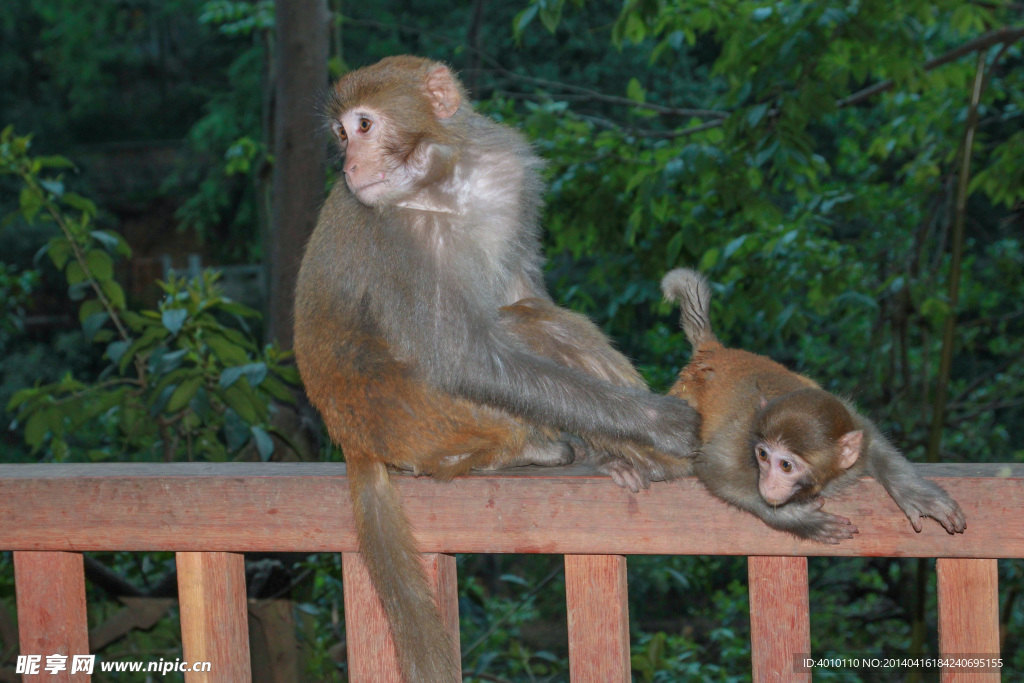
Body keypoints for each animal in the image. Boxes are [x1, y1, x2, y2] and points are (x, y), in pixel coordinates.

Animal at [292, 57, 700, 683]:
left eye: (361, 126)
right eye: (342, 133)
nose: (350, 166)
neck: (445, 181)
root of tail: (353, 440)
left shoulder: (508, 173)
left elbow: (520, 288)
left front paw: (628, 442)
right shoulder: (396, 236)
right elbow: (465, 359)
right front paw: (656, 424)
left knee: (531, 314)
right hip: (414, 416)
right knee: (511, 340)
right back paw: (530, 452)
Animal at [659, 266, 962, 544]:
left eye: (786, 466)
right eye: (763, 456)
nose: (768, 484)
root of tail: (714, 352)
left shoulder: (849, 424)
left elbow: (872, 439)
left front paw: (918, 495)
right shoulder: (741, 441)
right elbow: (714, 467)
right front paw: (797, 519)